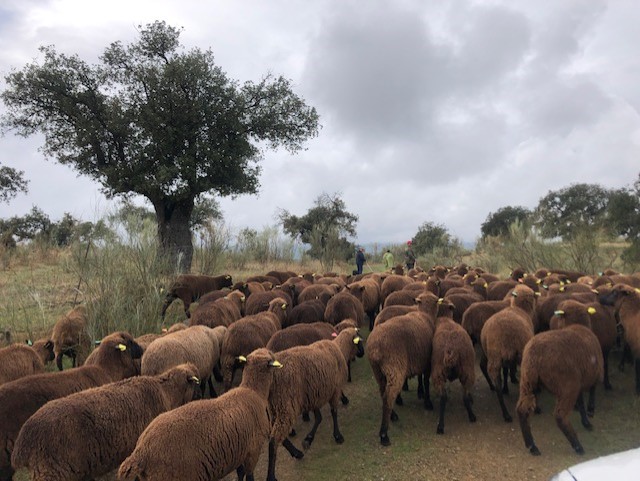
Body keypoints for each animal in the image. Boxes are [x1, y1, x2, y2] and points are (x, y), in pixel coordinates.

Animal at [117, 348, 283, 481]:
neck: (253, 391)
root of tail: (141, 452)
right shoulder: (253, 451)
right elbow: (249, 476)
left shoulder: (240, 451)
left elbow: (240, 473)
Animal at [266, 327, 364, 481]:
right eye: (359, 340)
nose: (363, 352)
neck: (340, 348)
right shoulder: (334, 389)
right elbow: (333, 412)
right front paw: (338, 436)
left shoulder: (315, 395)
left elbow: (319, 418)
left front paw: (308, 439)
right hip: (286, 404)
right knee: (274, 440)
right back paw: (271, 475)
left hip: (275, 407)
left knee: (275, 435)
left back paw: (297, 453)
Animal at [366, 293, 440, 445]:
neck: (425, 314)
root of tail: (375, 349)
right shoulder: (427, 362)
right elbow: (426, 381)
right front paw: (427, 401)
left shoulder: (419, 357)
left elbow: (420, 378)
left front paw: (420, 392)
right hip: (395, 367)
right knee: (389, 396)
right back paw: (384, 434)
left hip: (378, 371)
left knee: (383, 392)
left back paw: (393, 415)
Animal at [480, 284, 536, 422]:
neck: (519, 308)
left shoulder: (506, 358)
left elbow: (505, 372)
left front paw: (506, 387)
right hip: (520, 353)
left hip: (494, 356)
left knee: (496, 381)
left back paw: (505, 412)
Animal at [516, 323, 603, 456]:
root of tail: (535, 355)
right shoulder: (593, 375)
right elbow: (591, 392)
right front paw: (590, 412)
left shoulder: (581, 383)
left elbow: (581, 402)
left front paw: (586, 420)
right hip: (567, 386)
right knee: (560, 415)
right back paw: (577, 446)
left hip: (527, 381)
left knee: (522, 409)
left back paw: (532, 446)